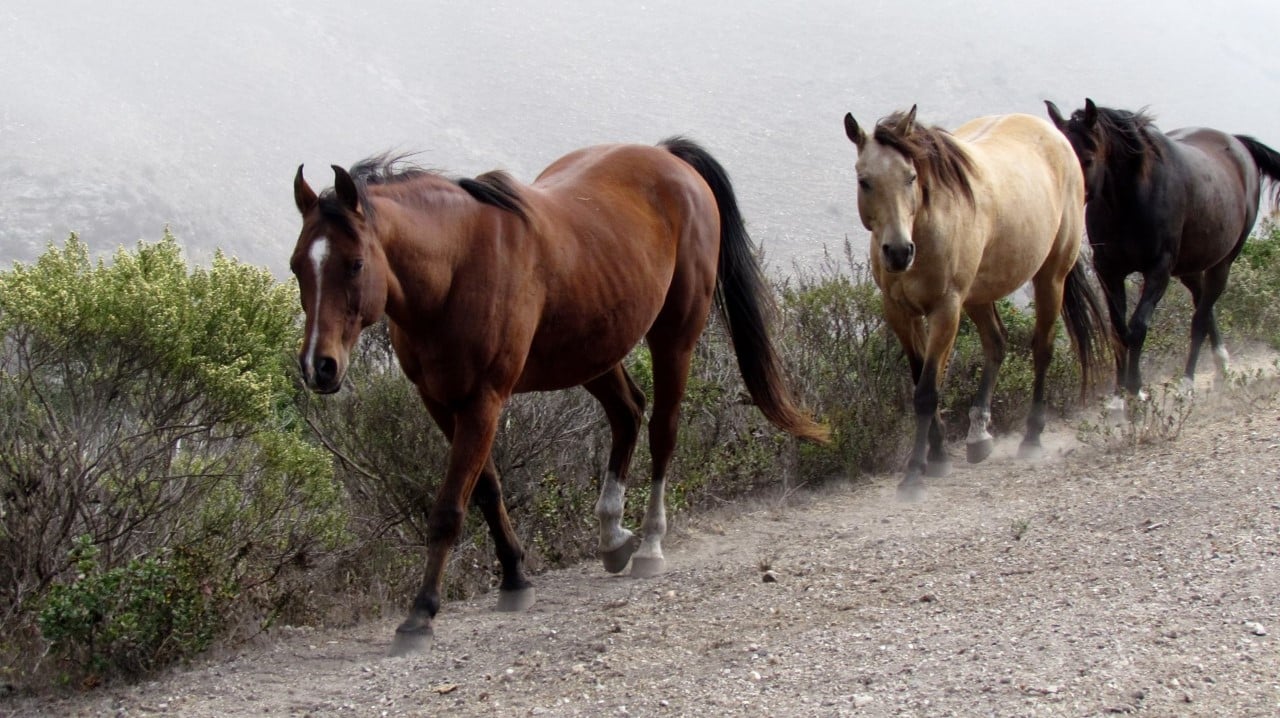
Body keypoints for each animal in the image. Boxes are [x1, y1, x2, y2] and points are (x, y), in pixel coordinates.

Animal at [290, 138, 827, 656]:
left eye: (355, 264)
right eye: (298, 267)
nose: (319, 366)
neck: (457, 267)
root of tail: (668, 157)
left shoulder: (483, 400)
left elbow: (448, 510)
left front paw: (420, 615)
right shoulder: (442, 403)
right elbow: (486, 490)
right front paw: (514, 578)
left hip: (674, 337)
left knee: (662, 433)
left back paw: (649, 545)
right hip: (594, 350)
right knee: (628, 413)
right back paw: (612, 537)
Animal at [842, 106, 1110, 500]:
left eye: (910, 177)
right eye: (865, 181)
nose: (898, 252)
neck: (927, 227)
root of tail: (1052, 133)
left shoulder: (946, 310)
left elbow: (927, 390)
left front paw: (914, 475)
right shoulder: (900, 312)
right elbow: (921, 379)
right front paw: (939, 456)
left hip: (1050, 277)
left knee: (1042, 348)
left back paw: (1031, 439)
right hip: (980, 294)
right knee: (997, 343)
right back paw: (979, 436)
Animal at [1046, 99, 1280, 398]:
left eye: (1087, 158)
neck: (1133, 201)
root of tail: (1238, 144)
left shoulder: (1158, 270)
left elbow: (1137, 328)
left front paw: (1136, 391)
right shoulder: (1109, 270)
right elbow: (1118, 330)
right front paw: (1118, 397)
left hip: (1223, 262)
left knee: (1200, 319)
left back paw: (1188, 382)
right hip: (1189, 267)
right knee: (1203, 305)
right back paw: (1221, 366)